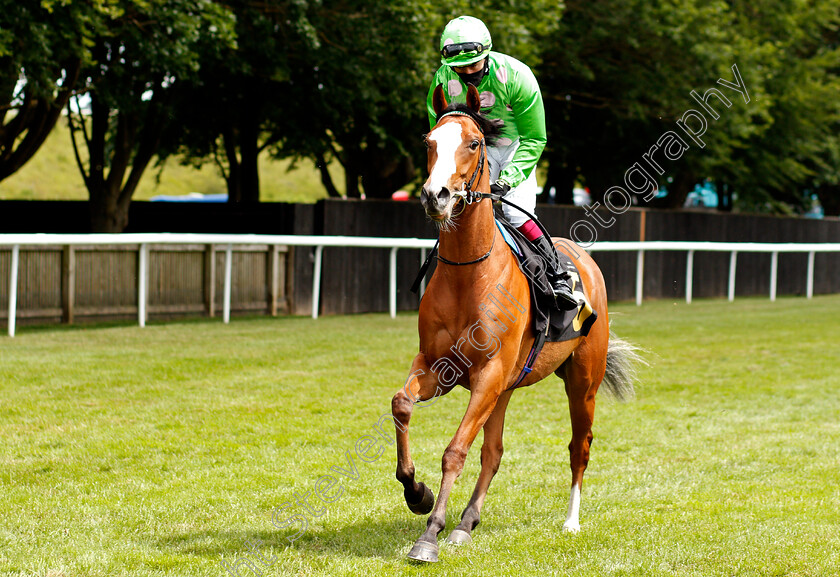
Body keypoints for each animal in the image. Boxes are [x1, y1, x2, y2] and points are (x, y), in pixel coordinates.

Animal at [390, 85, 640, 564]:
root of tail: (586, 261)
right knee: (494, 452)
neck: (470, 273)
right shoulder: (439, 366)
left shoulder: (487, 374)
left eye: (474, 143)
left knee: (579, 447)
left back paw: (570, 521)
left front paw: (429, 535)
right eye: (429, 142)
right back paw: (466, 523)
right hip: (505, 387)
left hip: (581, 382)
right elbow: (402, 405)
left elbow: (455, 451)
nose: (436, 195)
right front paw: (418, 493)